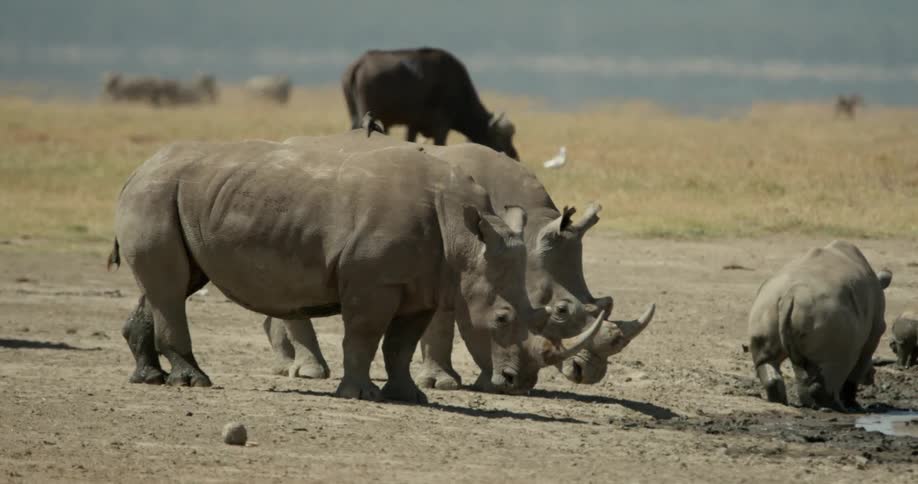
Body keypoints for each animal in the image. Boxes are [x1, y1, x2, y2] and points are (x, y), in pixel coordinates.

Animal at [110, 139, 602, 402]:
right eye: (501, 318)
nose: (519, 383)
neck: (464, 239)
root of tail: (135, 171)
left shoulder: (422, 285)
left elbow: (401, 345)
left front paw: (410, 396)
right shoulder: (374, 280)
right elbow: (364, 335)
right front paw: (360, 394)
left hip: (176, 196)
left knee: (172, 284)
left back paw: (149, 378)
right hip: (155, 195)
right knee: (172, 287)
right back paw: (193, 381)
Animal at [265, 128, 654, 393]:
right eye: (561, 310)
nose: (589, 374)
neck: (527, 230)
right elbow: (446, 325)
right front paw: (445, 382)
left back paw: (285, 367)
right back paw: (312, 372)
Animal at [747, 240, 891, 411]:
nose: (872, 376)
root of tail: (790, 296)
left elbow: (804, 375)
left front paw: (808, 403)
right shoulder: (873, 335)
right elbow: (857, 369)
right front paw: (854, 406)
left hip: (767, 304)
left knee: (768, 360)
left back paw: (782, 402)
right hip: (831, 316)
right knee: (837, 364)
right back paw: (838, 408)